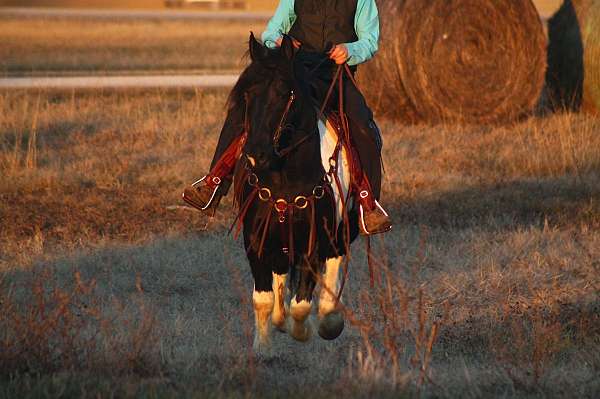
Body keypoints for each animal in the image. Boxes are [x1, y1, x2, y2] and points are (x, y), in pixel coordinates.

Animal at [231, 34, 358, 354]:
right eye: (247, 95)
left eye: (284, 93)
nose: (255, 155)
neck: (285, 180)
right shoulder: (255, 240)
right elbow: (263, 299)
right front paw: (264, 345)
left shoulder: (313, 241)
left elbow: (302, 305)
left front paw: (305, 329)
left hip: (340, 232)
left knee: (334, 265)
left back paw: (328, 318)